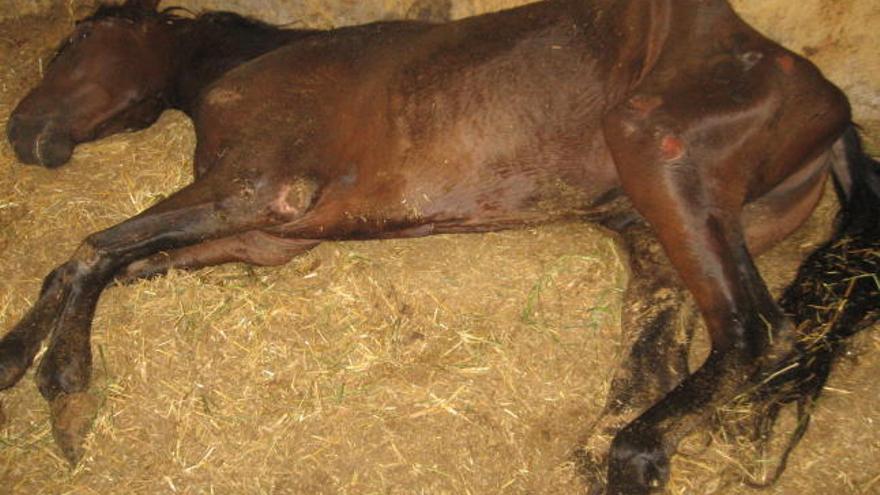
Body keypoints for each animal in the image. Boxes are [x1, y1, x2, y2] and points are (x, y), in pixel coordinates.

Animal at [1, 0, 880, 494]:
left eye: (80, 35)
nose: (20, 132)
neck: (256, 64)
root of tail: (829, 101)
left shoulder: (254, 191)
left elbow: (90, 248)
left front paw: (64, 386)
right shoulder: (261, 236)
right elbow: (113, 262)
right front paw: (25, 356)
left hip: (658, 152)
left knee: (758, 332)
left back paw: (633, 453)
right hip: (654, 238)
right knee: (661, 362)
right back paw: (619, 452)